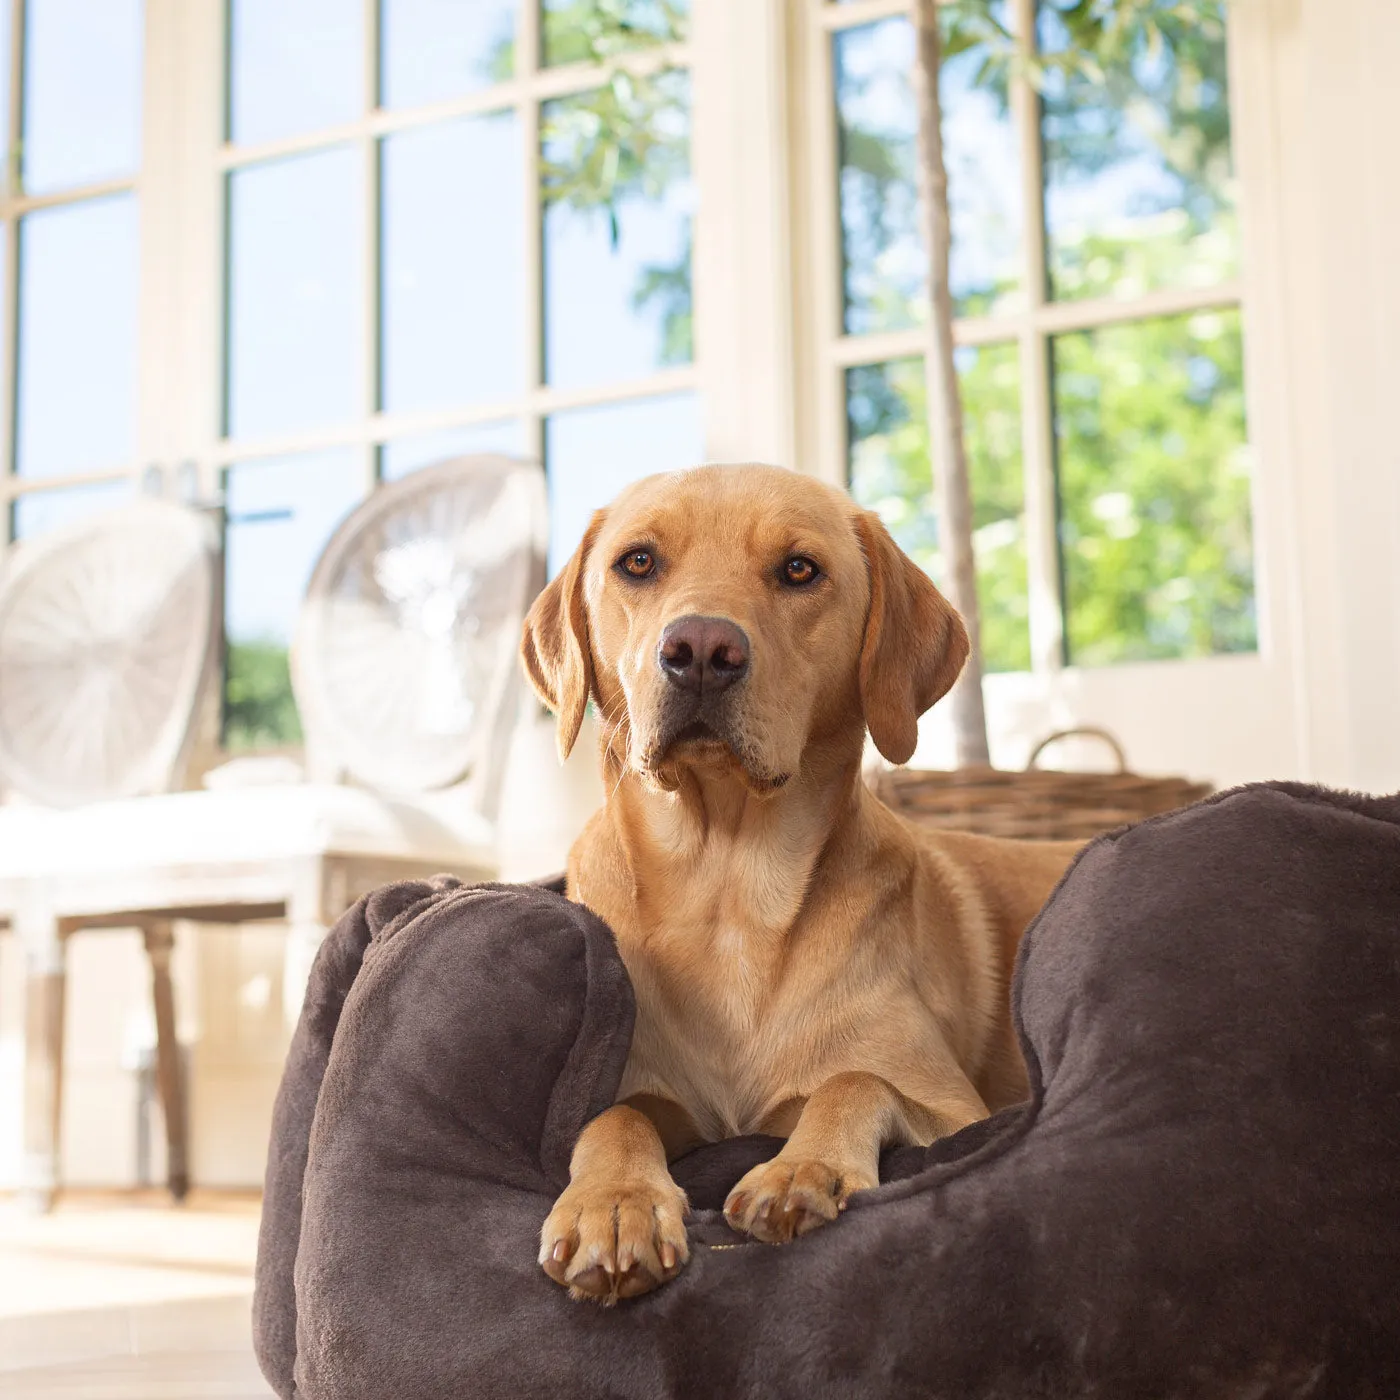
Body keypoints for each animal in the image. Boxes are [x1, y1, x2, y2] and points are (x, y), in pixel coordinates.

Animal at [520, 467, 1075, 1299]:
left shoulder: (959, 1112)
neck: (727, 888)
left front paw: (804, 1169)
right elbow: (615, 1116)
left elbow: (855, 1081)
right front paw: (613, 1203)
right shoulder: (647, 1090)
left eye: (799, 570)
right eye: (638, 562)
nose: (701, 649)